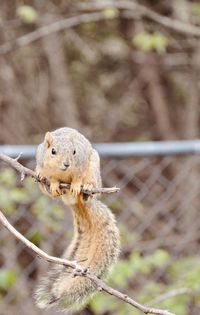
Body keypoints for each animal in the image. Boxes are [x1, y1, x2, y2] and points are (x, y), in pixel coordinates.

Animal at [34, 128, 120, 314]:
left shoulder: (80, 164)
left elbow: (78, 177)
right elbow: (51, 178)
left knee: (90, 185)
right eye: (53, 151)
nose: (67, 164)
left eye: (74, 152)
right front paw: (52, 183)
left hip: (94, 167)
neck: (63, 173)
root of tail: (73, 203)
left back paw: (87, 189)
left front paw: (76, 184)